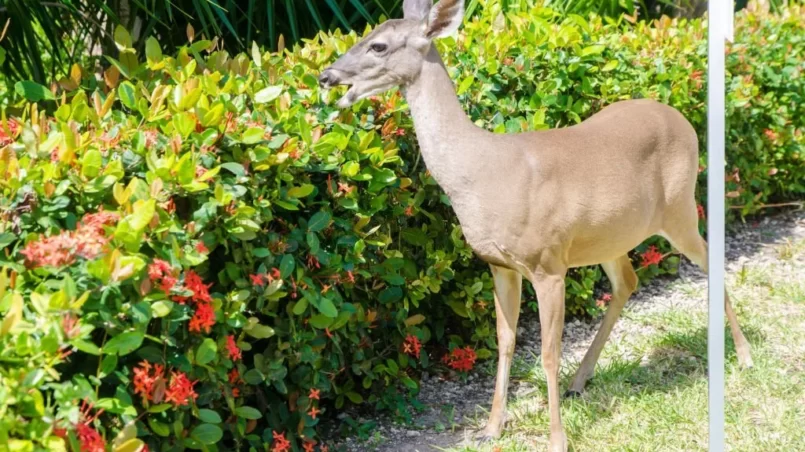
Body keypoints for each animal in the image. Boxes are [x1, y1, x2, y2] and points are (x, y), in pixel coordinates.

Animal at [318, 1, 752, 450]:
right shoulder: (500, 265)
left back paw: (744, 356)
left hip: (679, 208)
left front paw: (557, 438)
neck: (481, 172)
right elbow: (505, 343)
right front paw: (492, 427)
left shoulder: (548, 263)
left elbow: (547, 352)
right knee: (627, 281)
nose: (325, 76)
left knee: (709, 260)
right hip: (609, 235)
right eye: (366, 34)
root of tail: (682, 119)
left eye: (379, 45)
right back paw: (581, 380)